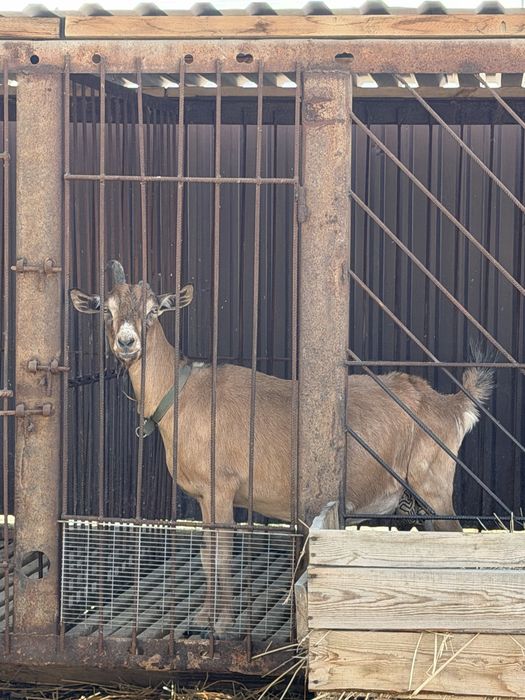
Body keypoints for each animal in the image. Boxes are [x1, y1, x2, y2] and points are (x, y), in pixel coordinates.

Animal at [70, 261, 494, 636]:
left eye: (154, 310)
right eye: (106, 309)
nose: (127, 343)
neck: (181, 394)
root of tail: (449, 404)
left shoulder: (221, 488)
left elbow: (222, 555)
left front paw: (221, 624)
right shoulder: (204, 496)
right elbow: (206, 554)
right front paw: (201, 617)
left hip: (433, 485)